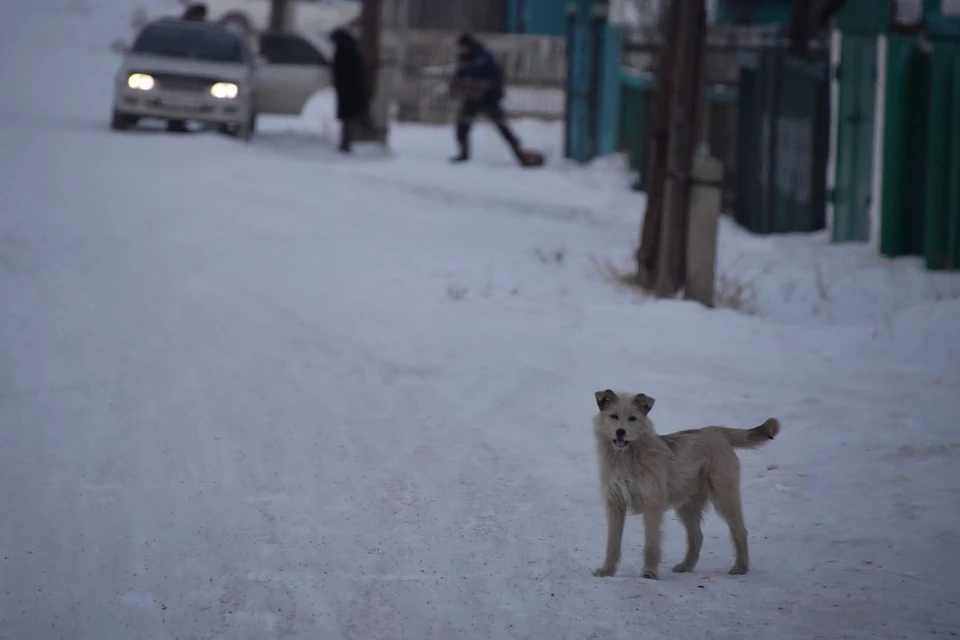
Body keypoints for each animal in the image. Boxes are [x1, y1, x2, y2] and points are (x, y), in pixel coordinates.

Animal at [592, 390, 780, 580]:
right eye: (613, 416)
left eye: (632, 418)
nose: (620, 432)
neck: (626, 458)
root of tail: (716, 431)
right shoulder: (615, 505)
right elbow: (612, 543)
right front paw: (607, 570)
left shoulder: (652, 505)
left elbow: (651, 543)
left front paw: (649, 572)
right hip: (687, 507)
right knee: (697, 537)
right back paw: (686, 566)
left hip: (724, 498)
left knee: (740, 530)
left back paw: (740, 567)